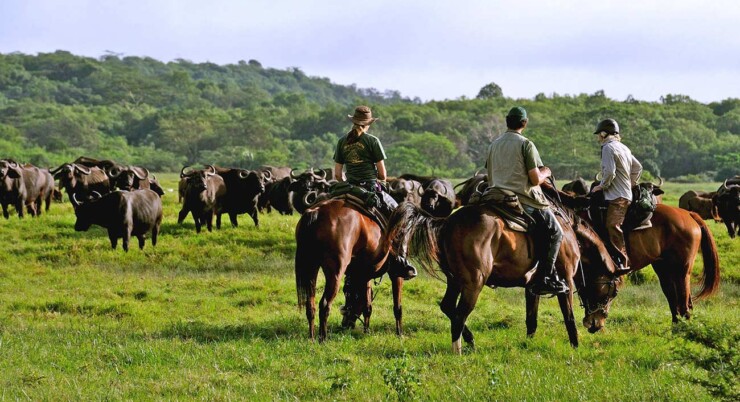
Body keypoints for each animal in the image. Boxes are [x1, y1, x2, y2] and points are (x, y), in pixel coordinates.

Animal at [294, 198, 404, 342]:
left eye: (349, 296)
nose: (345, 324)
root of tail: (315, 213)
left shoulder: (364, 275)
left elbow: (367, 304)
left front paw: (366, 331)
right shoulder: (396, 274)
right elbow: (397, 306)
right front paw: (400, 333)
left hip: (311, 269)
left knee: (310, 305)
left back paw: (312, 338)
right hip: (335, 273)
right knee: (324, 305)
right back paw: (323, 339)